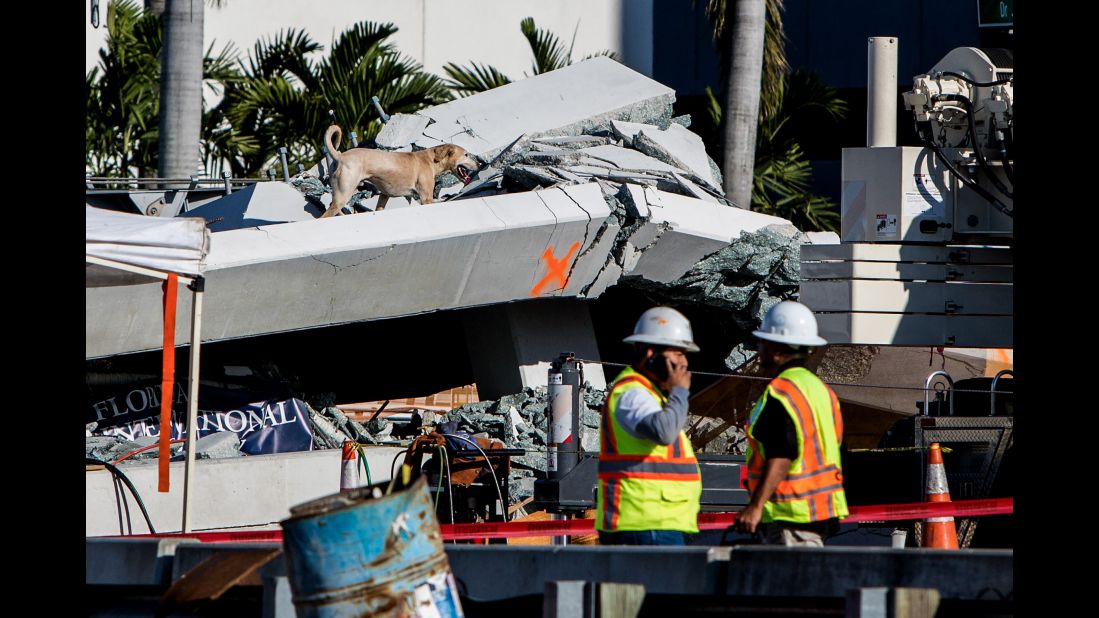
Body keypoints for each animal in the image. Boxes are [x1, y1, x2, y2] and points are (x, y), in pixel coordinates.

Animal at [320, 123, 479, 217]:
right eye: (466, 155)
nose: (479, 164)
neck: (431, 159)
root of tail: (340, 156)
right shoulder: (426, 198)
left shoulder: (384, 196)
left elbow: (380, 207)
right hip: (343, 194)